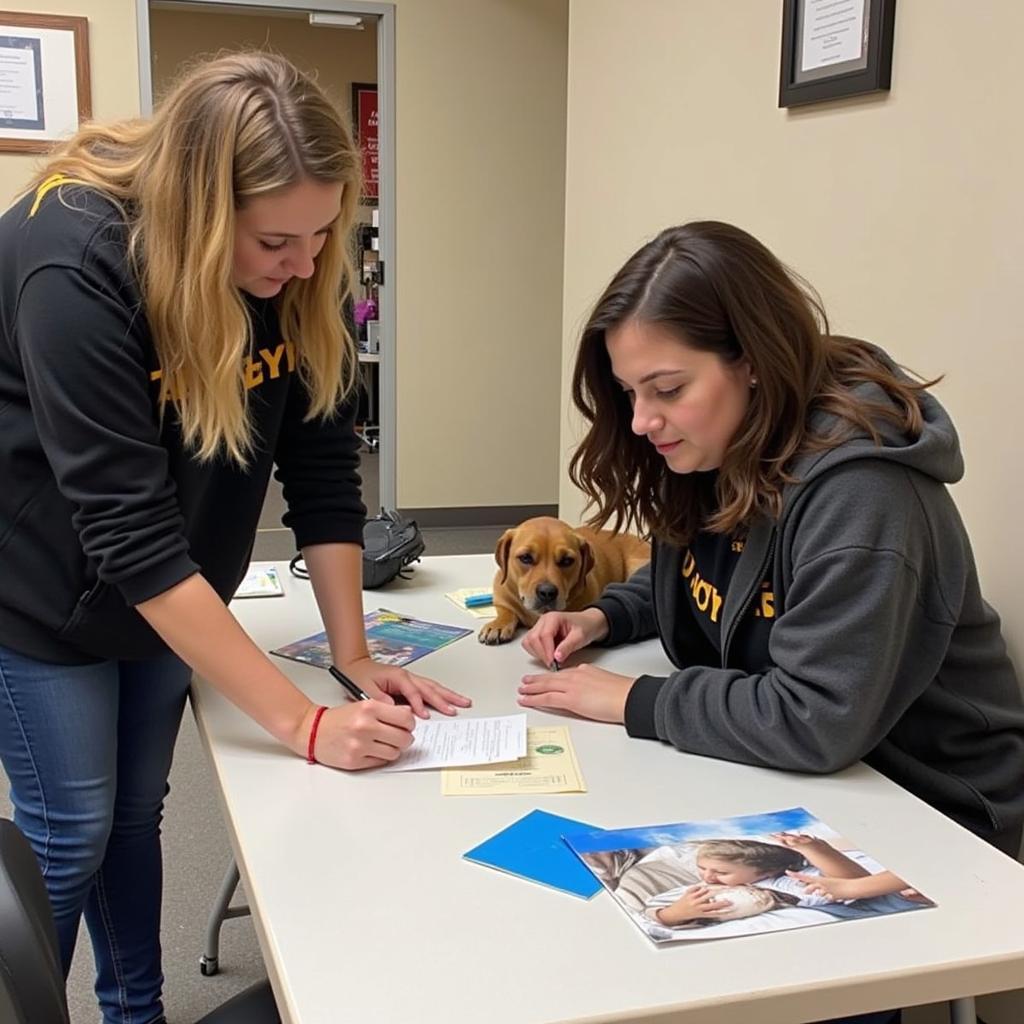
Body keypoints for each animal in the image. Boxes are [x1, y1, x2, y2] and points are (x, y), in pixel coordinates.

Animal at [477, 516, 647, 643]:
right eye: (525, 558)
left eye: (567, 561)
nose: (547, 592)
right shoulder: (502, 596)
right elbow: (506, 610)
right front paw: (498, 624)